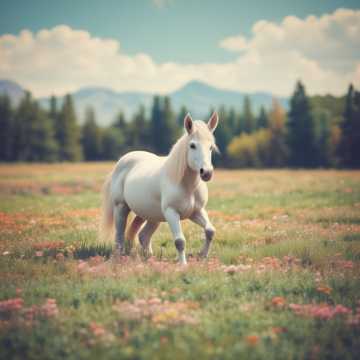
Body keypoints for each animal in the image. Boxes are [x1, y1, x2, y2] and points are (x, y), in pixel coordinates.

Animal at [101, 112, 219, 264]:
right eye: (192, 145)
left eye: (211, 147)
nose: (207, 172)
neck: (186, 185)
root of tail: (121, 161)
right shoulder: (171, 212)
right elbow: (180, 241)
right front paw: (183, 264)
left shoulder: (196, 211)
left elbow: (210, 231)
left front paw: (202, 255)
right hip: (121, 207)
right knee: (119, 234)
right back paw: (119, 257)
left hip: (150, 215)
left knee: (143, 235)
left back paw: (149, 257)